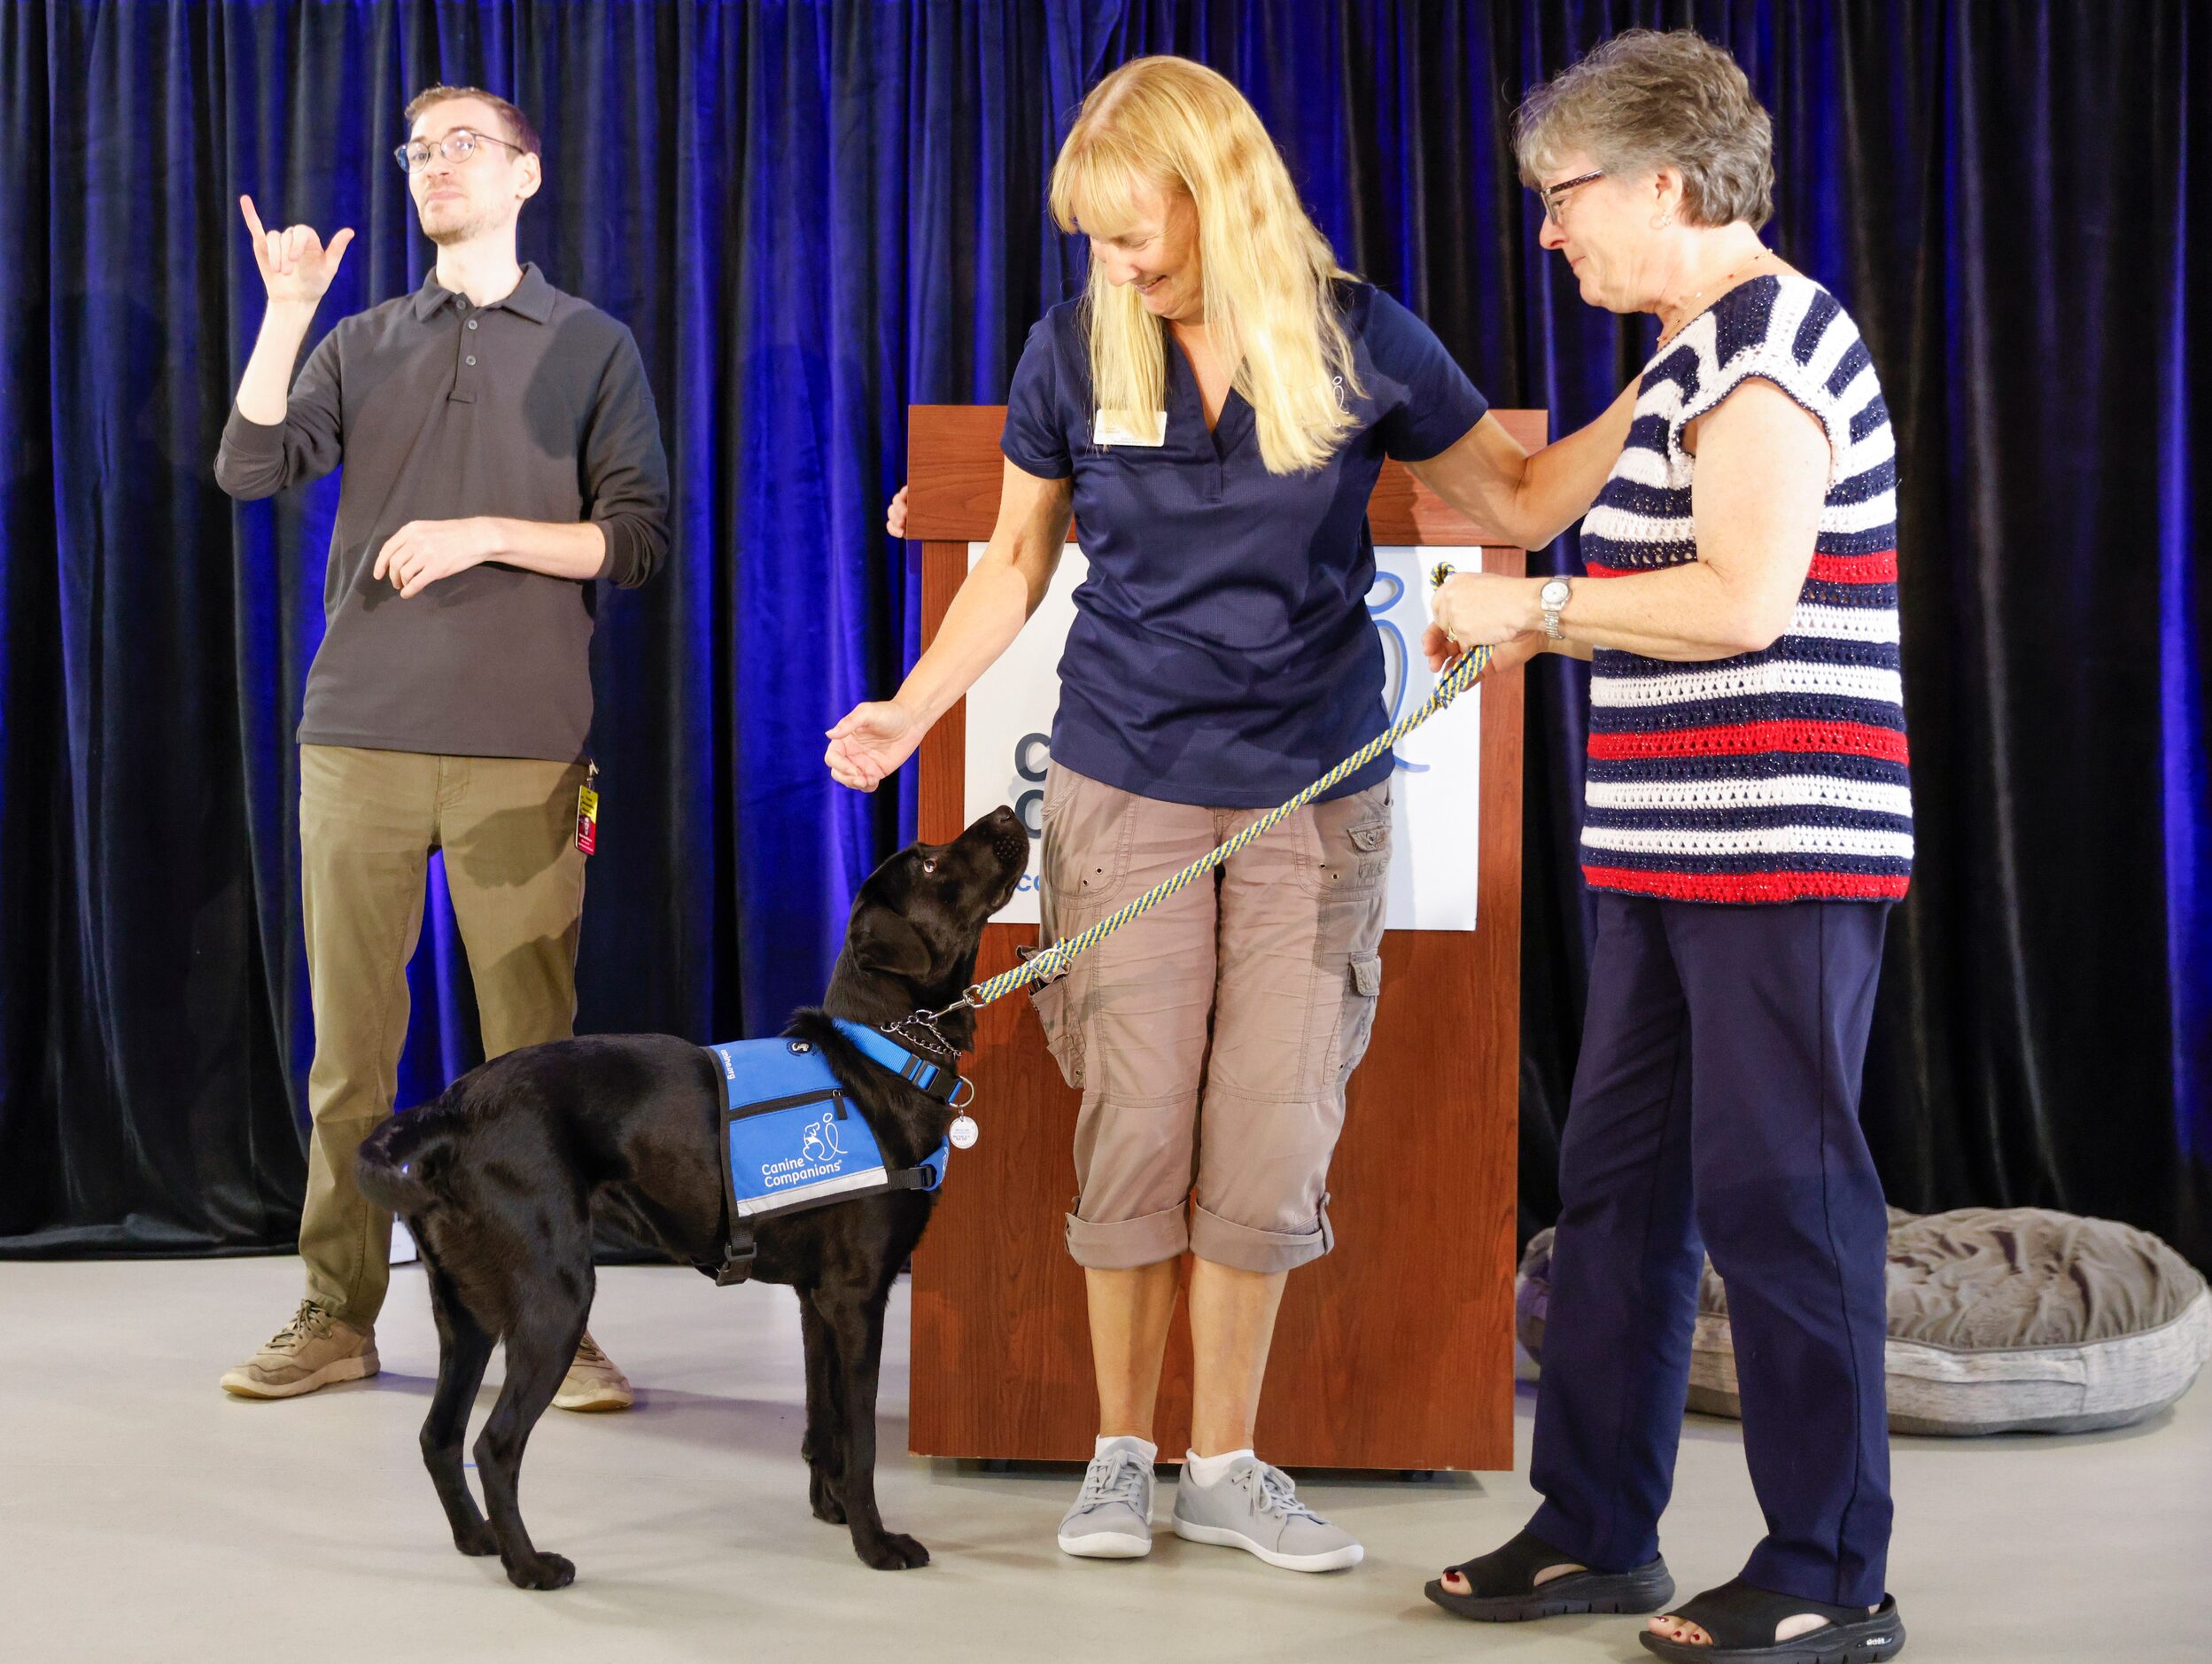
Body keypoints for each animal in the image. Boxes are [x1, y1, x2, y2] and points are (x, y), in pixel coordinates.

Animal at [353, 805, 1026, 1584]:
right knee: (494, 1444)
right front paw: (874, 1544)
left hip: (467, 1310)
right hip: (555, 1297)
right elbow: (859, 1439)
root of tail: (450, 1109)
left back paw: (478, 1540)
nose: (1006, 814)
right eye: (928, 863)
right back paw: (530, 1567)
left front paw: (830, 1511)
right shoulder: (857, 1296)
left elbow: (822, 1423)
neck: (883, 1054)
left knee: (438, 1434)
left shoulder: (815, 1301)